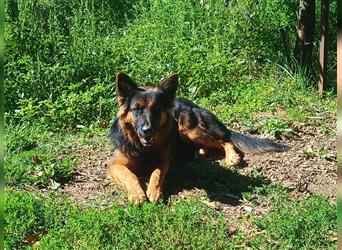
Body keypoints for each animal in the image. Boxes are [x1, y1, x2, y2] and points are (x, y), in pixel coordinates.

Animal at [107, 72, 288, 203]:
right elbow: (130, 175)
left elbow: (156, 174)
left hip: (187, 130)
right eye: (136, 109)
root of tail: (194, 105)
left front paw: (154, 191)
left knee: (225, 139)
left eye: (156, 109)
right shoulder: (114, 165)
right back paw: (201, 152)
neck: (143, 148)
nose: (147, 131)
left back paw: (231, 157)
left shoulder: (164, 161)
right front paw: (137, 193)